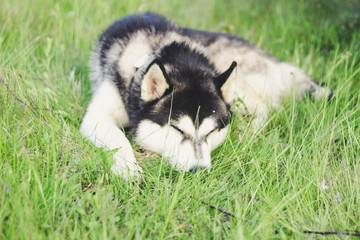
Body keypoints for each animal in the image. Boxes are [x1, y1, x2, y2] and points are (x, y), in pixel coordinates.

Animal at [79, 12, 332, 179]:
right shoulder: (97, 116)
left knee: (263, 112)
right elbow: (118, 140)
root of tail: (281, 65)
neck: (155, 49)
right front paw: (127, 169)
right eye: (177, 129)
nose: (198, 170)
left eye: (211, 132)